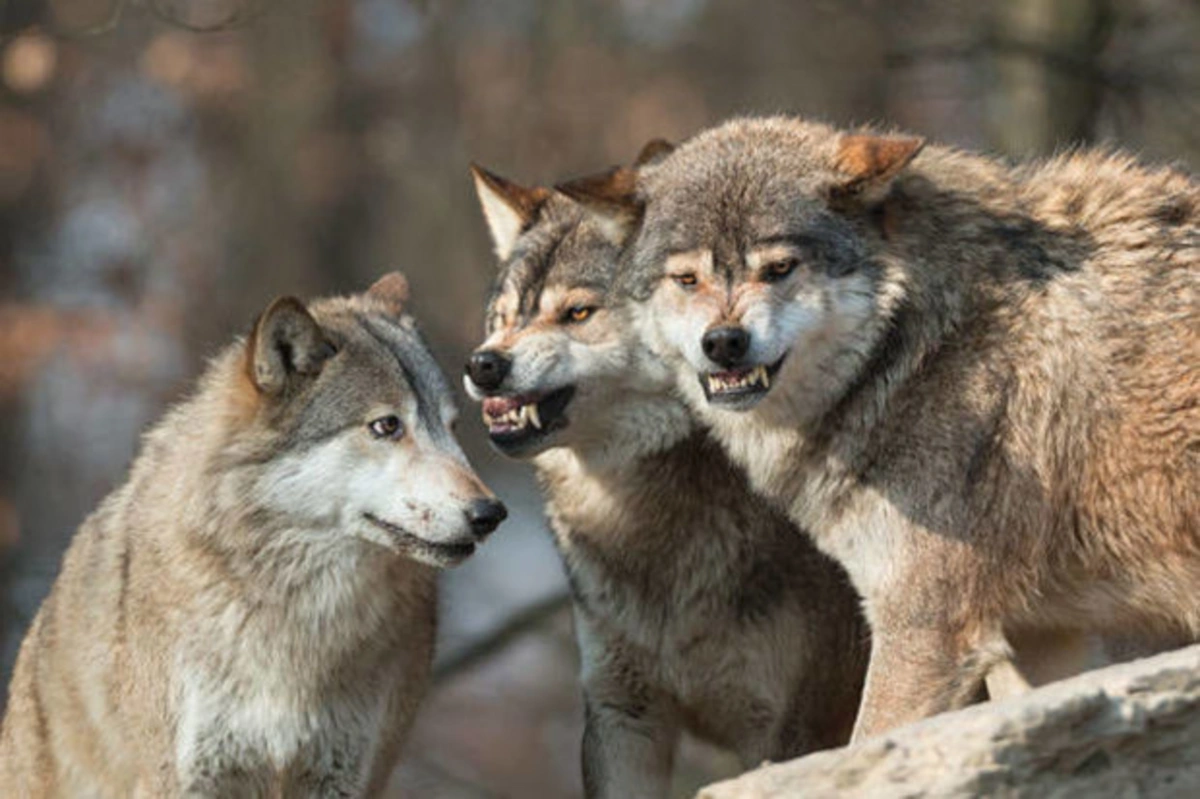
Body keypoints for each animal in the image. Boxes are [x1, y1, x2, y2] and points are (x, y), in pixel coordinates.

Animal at [0, 271, 501, 791]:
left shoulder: (342, 777)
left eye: (451, 427)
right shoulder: (190, 777)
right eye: (386, 426)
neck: (297, 615)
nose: (490, 513)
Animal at [561, 115, 1200, 739]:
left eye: (779, 268)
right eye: (687, 279)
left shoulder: (925, 627)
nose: (723, 343)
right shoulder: (1036, 636)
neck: (917, 347)